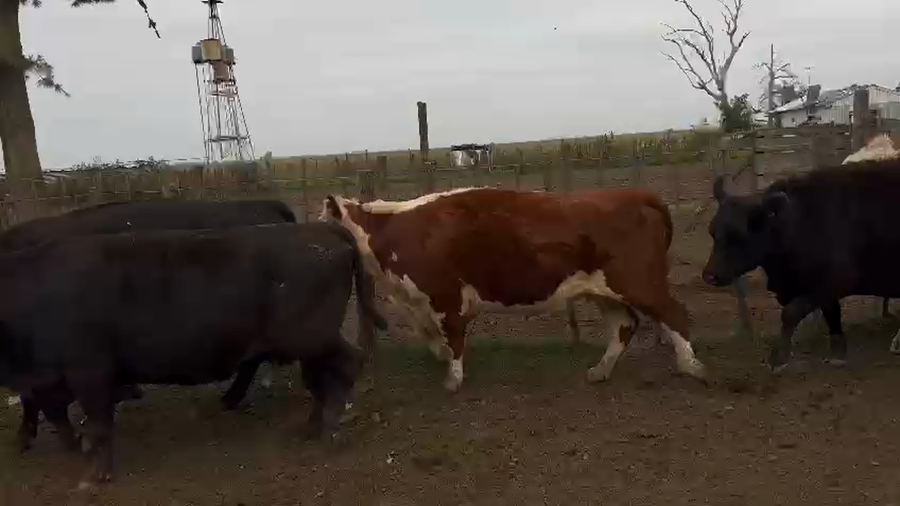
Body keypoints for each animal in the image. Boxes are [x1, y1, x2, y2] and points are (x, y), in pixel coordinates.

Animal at [320, 187, 707, 392]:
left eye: (321, 223)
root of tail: (633, 193)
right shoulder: (418, 305)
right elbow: (433, 339)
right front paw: (443, 361)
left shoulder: (446, 298)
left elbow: (454, 338)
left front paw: (454, 379)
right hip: (603, 291)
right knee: (625, 326)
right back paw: (600, 371)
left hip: (639, 282)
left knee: (675, 314)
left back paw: (690, 366)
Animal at [702, 157, 900, 371]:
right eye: (712, 232)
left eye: (738, 236)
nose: (709, 275)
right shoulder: (821, 289)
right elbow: (832, 314)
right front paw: (838, 352)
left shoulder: (832, 283)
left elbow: (790, 313)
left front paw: (778, 358)